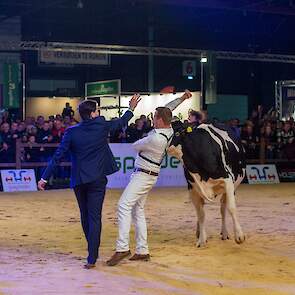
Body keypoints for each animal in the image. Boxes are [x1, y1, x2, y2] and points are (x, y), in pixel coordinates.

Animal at [169, 121, 247, 249]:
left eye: (176, 133)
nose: (167, 147)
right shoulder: (192, 188)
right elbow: (201, 214)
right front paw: (201, 239)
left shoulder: (228, 180)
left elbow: (231, 208)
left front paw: (239, 236)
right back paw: (199, 232)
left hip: (233, 185)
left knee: (223, 207)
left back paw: (224, 233)